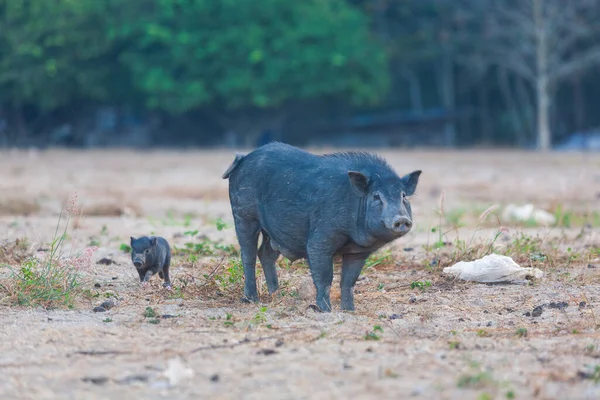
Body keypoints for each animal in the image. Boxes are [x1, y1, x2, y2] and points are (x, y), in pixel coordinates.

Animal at [221, 141, 422, 312]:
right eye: (376, 196)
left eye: (403, 196)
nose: (401, 219)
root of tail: (243, 158)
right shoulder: (320, 239)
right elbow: (325, 277)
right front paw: (325, 310)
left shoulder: (358, 252)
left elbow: (348, 282)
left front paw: (349, 310)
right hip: (243, 215)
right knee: (248, 254)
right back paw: (252, 299)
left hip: (273, 231)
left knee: (265, 253)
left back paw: (276, 295)